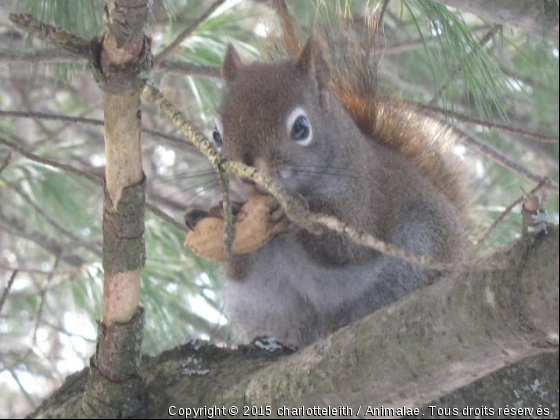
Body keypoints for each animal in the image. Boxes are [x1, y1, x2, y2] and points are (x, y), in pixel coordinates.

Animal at [186, 33, 470, 348]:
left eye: (301, 127)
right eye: (216, 135)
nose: (246, 173)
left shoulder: (368, 198)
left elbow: (350, 247)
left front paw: (295, 215)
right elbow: (238, 265)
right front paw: (218, 212)